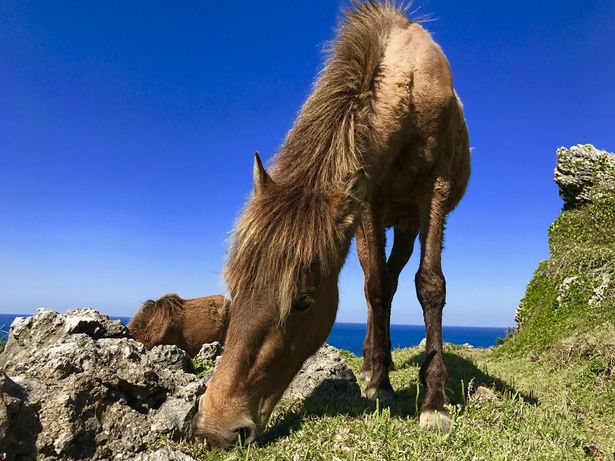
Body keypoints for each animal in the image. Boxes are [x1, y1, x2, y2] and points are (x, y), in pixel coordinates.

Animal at [194, 0, 472, 446]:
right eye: (235, 289)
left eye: (304, 301)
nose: (216, 427)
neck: (410, 82)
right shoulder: (368, 203)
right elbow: (376, 287)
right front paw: (379, 382)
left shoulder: (435, 191)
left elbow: (430, 285)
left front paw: (434, 402)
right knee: (380, 285)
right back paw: (374, 363)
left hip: (408, 223)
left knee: (396, 277)